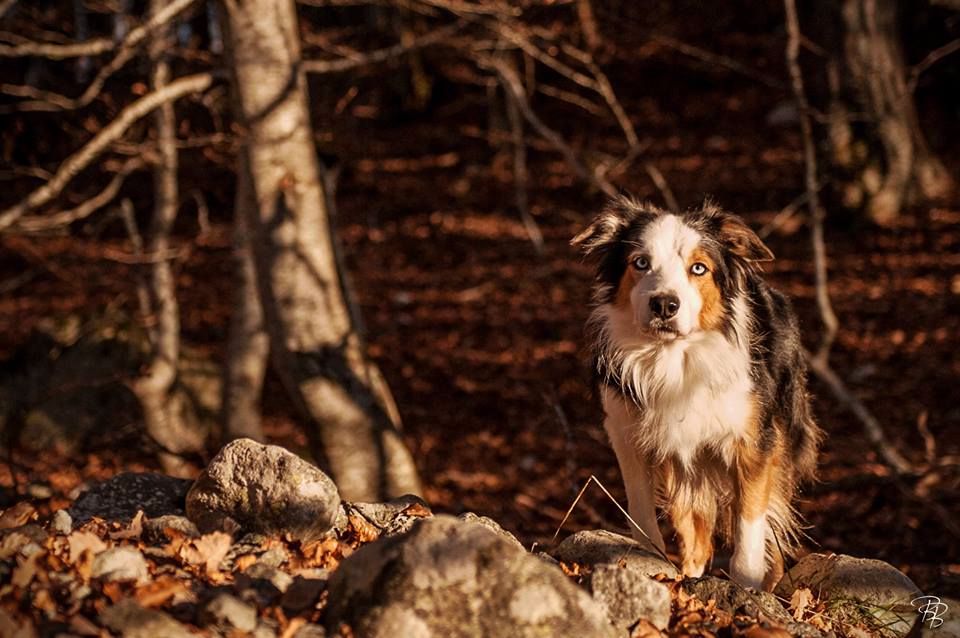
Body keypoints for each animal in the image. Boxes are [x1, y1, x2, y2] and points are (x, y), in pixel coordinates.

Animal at [572, 198, 820, 592]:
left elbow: (749, 529)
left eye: (699, 268)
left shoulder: (755, 444)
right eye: (640, 263)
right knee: (696, 536)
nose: (664, 304)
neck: (675, 359)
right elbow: (643, 514)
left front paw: (746, 587)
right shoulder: (628, 435)